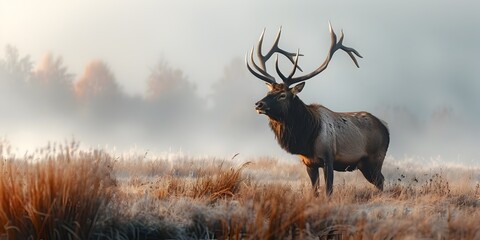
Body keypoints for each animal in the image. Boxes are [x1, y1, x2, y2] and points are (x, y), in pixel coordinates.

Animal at [246, 23, 388, 197]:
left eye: (282, 95)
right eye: (268, 92)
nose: (258, 104)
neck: (306, 138)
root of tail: (385, 126)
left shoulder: (328, 157)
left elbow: (328, 190)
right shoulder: (309, 163)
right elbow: (315, 191)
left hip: (375, 158)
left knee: (381, 180)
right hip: (364, 165)